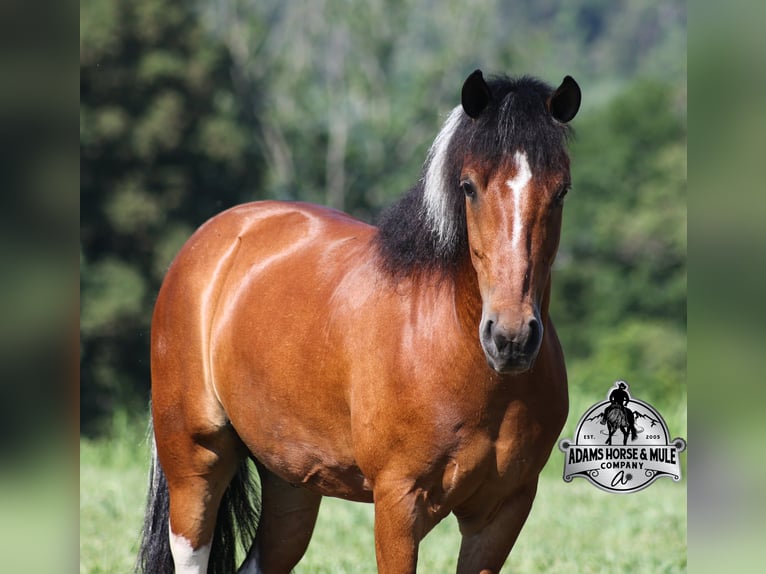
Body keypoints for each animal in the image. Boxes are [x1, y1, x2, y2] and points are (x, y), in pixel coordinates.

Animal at [137, 69, 581, 574]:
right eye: (468, 186)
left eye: (561, 190)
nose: (510, 338)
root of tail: (214, 238)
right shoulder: (398, 502)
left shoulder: (503, 511)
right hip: (195, 460)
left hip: (290, 481)